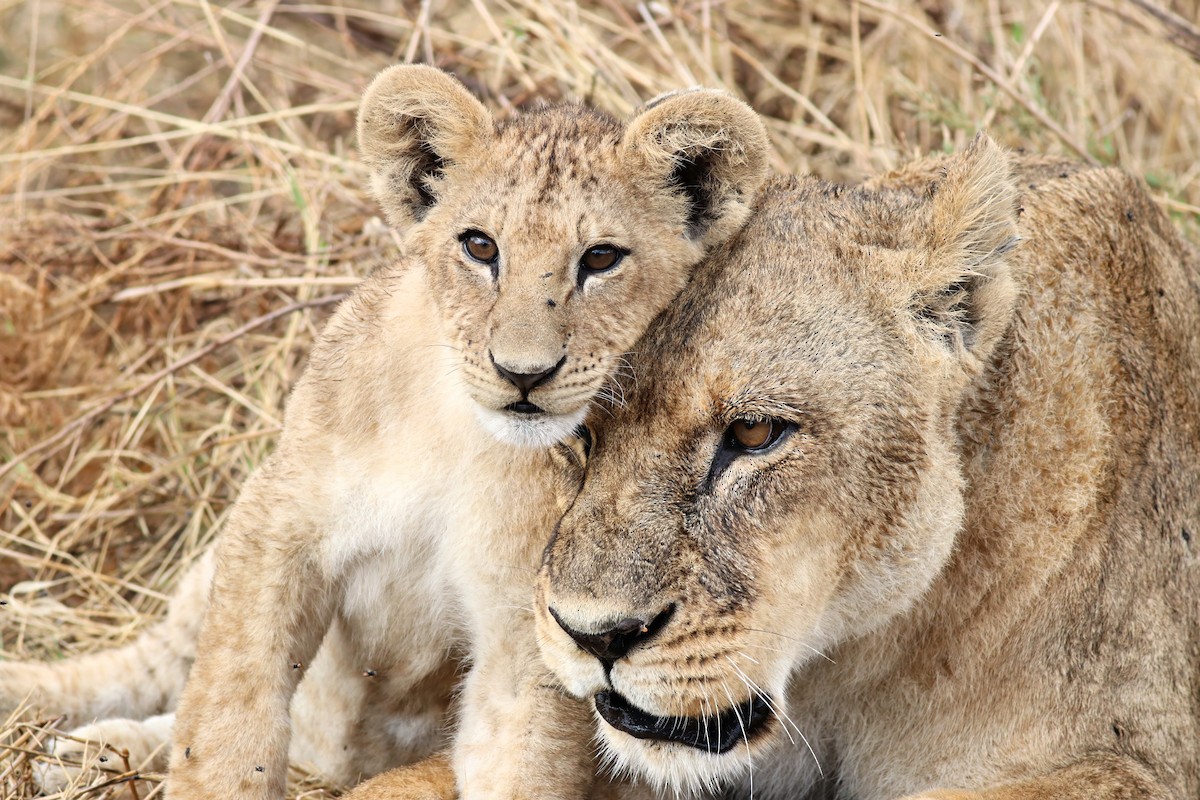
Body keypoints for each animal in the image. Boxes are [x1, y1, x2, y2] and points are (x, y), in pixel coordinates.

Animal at [0, 64, 769, 799]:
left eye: (602, 258)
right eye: (480, 246)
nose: (523, 374)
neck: (459, 435)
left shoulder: (533, 626)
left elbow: (519, 757)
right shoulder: (278, 521)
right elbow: (230, 705)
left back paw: (86, 754)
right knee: (149, 666)